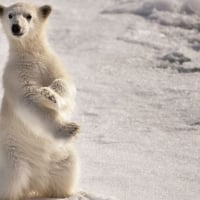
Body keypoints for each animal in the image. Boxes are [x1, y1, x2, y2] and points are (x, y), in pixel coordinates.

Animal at [0, 1, 79, 200]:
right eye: (10, 15)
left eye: (29, 16)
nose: (16, 27)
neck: (30, 54)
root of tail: (34, 183)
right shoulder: (15, 75)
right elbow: (30, 102)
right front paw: (69, 129)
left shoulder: (51, 63)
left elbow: (64, 83)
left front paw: (50, 95)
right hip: (13, 156)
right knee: (11, 179)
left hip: (61, 157)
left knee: (67, 171)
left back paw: (63, 193)